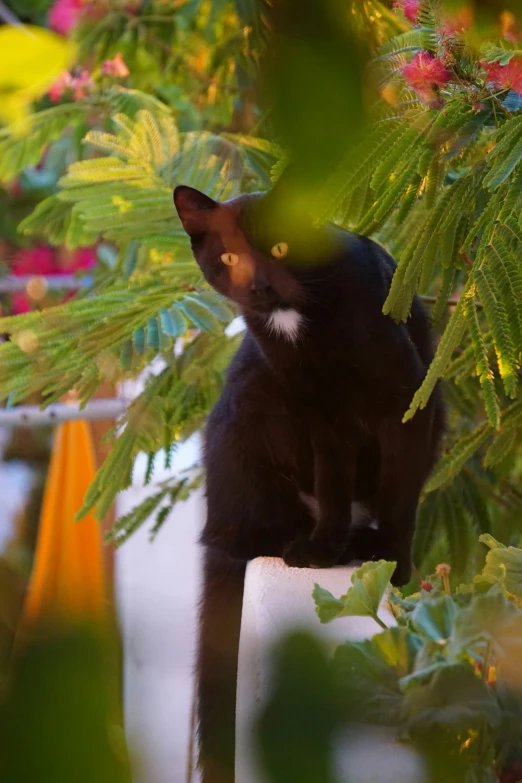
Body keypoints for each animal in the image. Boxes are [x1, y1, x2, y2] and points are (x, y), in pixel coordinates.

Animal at [173, 179, 440, 783]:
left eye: (278, 249)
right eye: (229, 258)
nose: (259, 286)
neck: (298, 323)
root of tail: (215, 523)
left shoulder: (406, 402)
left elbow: (399, 496)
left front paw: (393, 560)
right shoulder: (321, 417)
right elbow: (333, 485)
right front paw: (323, 549)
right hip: (252, 400)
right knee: (255, 532)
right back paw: (316, 540)